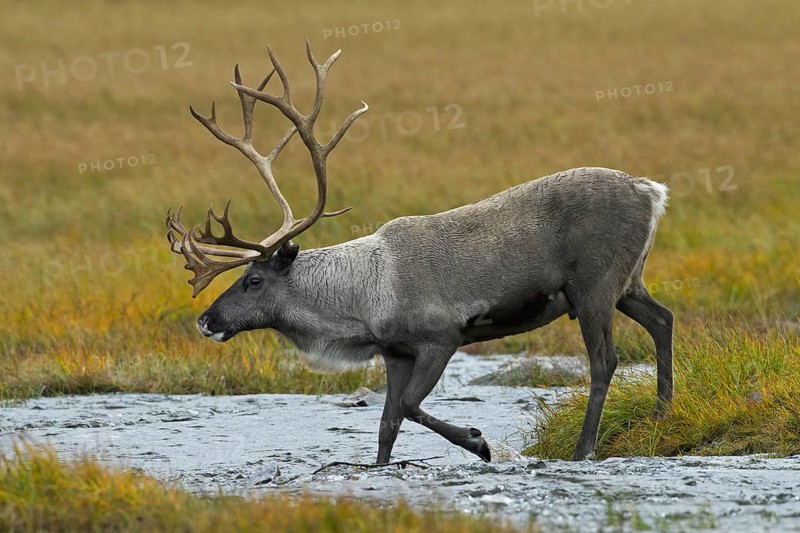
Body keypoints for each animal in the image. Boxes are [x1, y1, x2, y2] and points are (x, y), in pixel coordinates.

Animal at [166, 41, 673, 463]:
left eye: (254, 280)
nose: (206, 320)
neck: (361, 303)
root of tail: (652, 191)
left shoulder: (441, 337)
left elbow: (410, 405)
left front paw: (479, 442)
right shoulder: (396, 353)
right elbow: (387, 425)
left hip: (594, 287)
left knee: (605, 361)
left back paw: (585, 449)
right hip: (626, 283)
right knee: (663, 319)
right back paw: (663, 414)